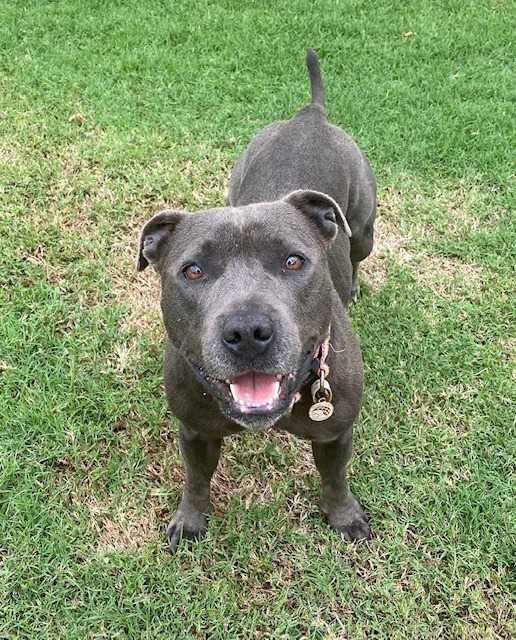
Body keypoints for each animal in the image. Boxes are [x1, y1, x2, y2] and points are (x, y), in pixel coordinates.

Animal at [137, 51, 373, 550]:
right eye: (193, 270)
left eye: (292, 261)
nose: (248, 331)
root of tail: (310, 116)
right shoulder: (195, 432)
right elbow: (196, 480)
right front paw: (190, 519)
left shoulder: (336, 434)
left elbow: (335, 479)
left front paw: (344, 517)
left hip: (363, 230)